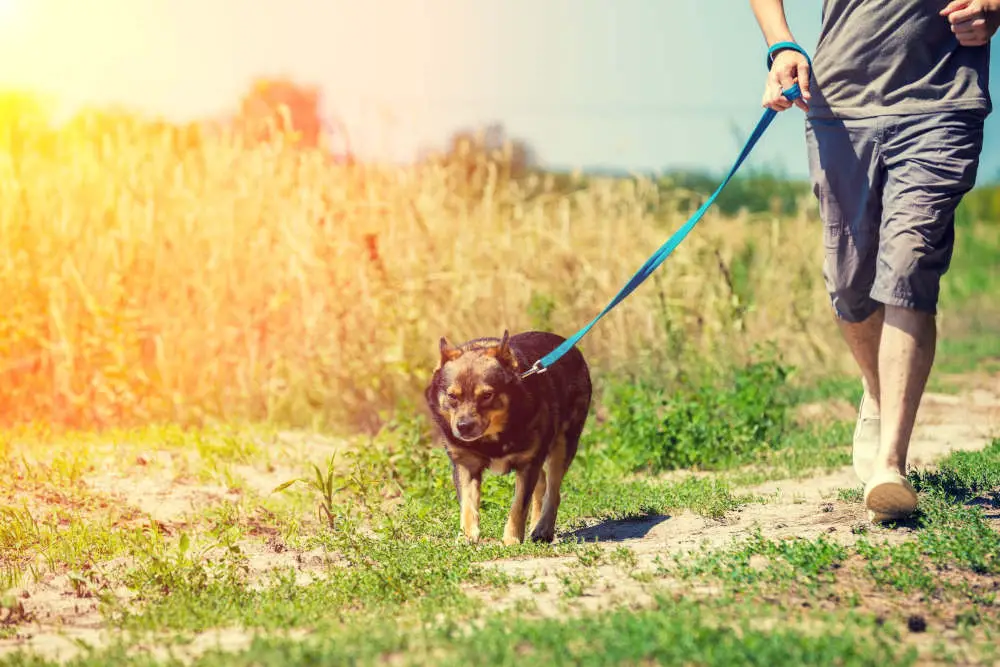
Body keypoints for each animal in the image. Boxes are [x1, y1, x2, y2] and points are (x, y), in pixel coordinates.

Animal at [424, 332, 592, 544]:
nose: (463, 427)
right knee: (542, 482)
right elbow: (468, 505)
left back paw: (543, 528)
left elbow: (519, 505)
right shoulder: (465, 464)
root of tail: (568, 345)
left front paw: (511, 539)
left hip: (564, 444)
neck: (492, 438)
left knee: (553, 490)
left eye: (487, 395)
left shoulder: (528, 463)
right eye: (452, 396)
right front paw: (467, 536)